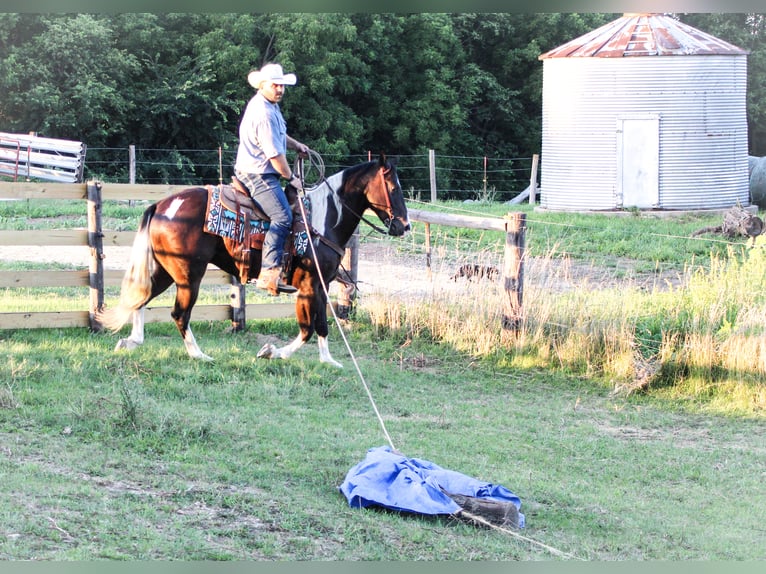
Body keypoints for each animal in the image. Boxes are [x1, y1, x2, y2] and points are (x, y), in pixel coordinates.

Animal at [98, 155, 412, 366]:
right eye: (393, 187)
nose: (404, 226)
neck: (322, 220)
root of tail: (163, 205)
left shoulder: (319, 286)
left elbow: (321, 325)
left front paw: (328, 361)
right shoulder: (310, 286)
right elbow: (307, 328)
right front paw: (272, 352)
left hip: (166, 270)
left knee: (141, 299)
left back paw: (132, 340)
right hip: (189, 276)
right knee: (179, 314)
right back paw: (199, 355)